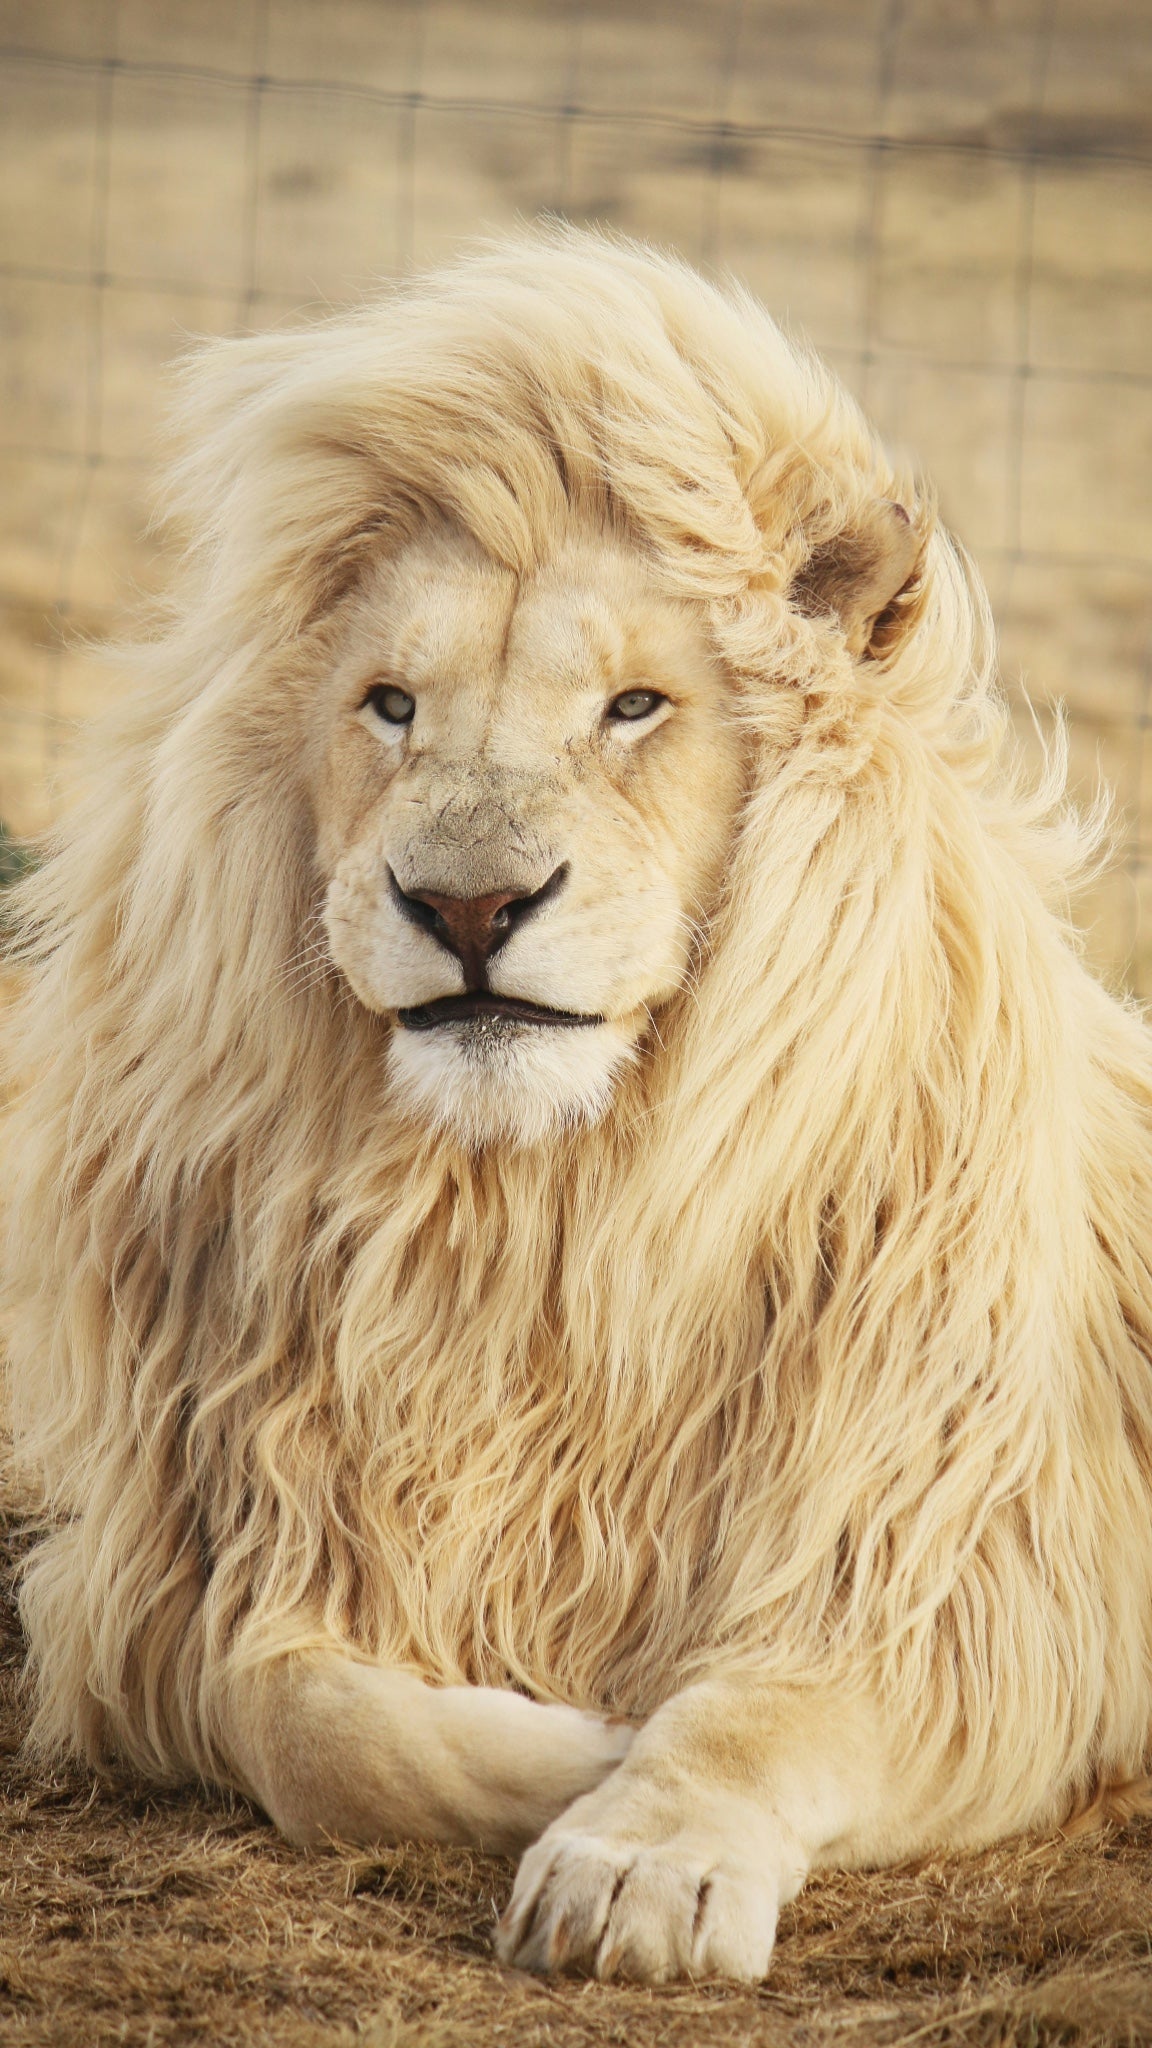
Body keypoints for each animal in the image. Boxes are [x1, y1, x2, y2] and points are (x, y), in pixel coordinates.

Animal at [5, 225, 1152, 1987]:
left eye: (633, 708)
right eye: (392, 705)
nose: (467, 907)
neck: (534, 1219)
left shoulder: (972, 1576)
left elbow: (758, 1710)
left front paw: (637, 1855)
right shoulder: (192, 1567)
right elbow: (304, 1719)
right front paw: (573, 1748)